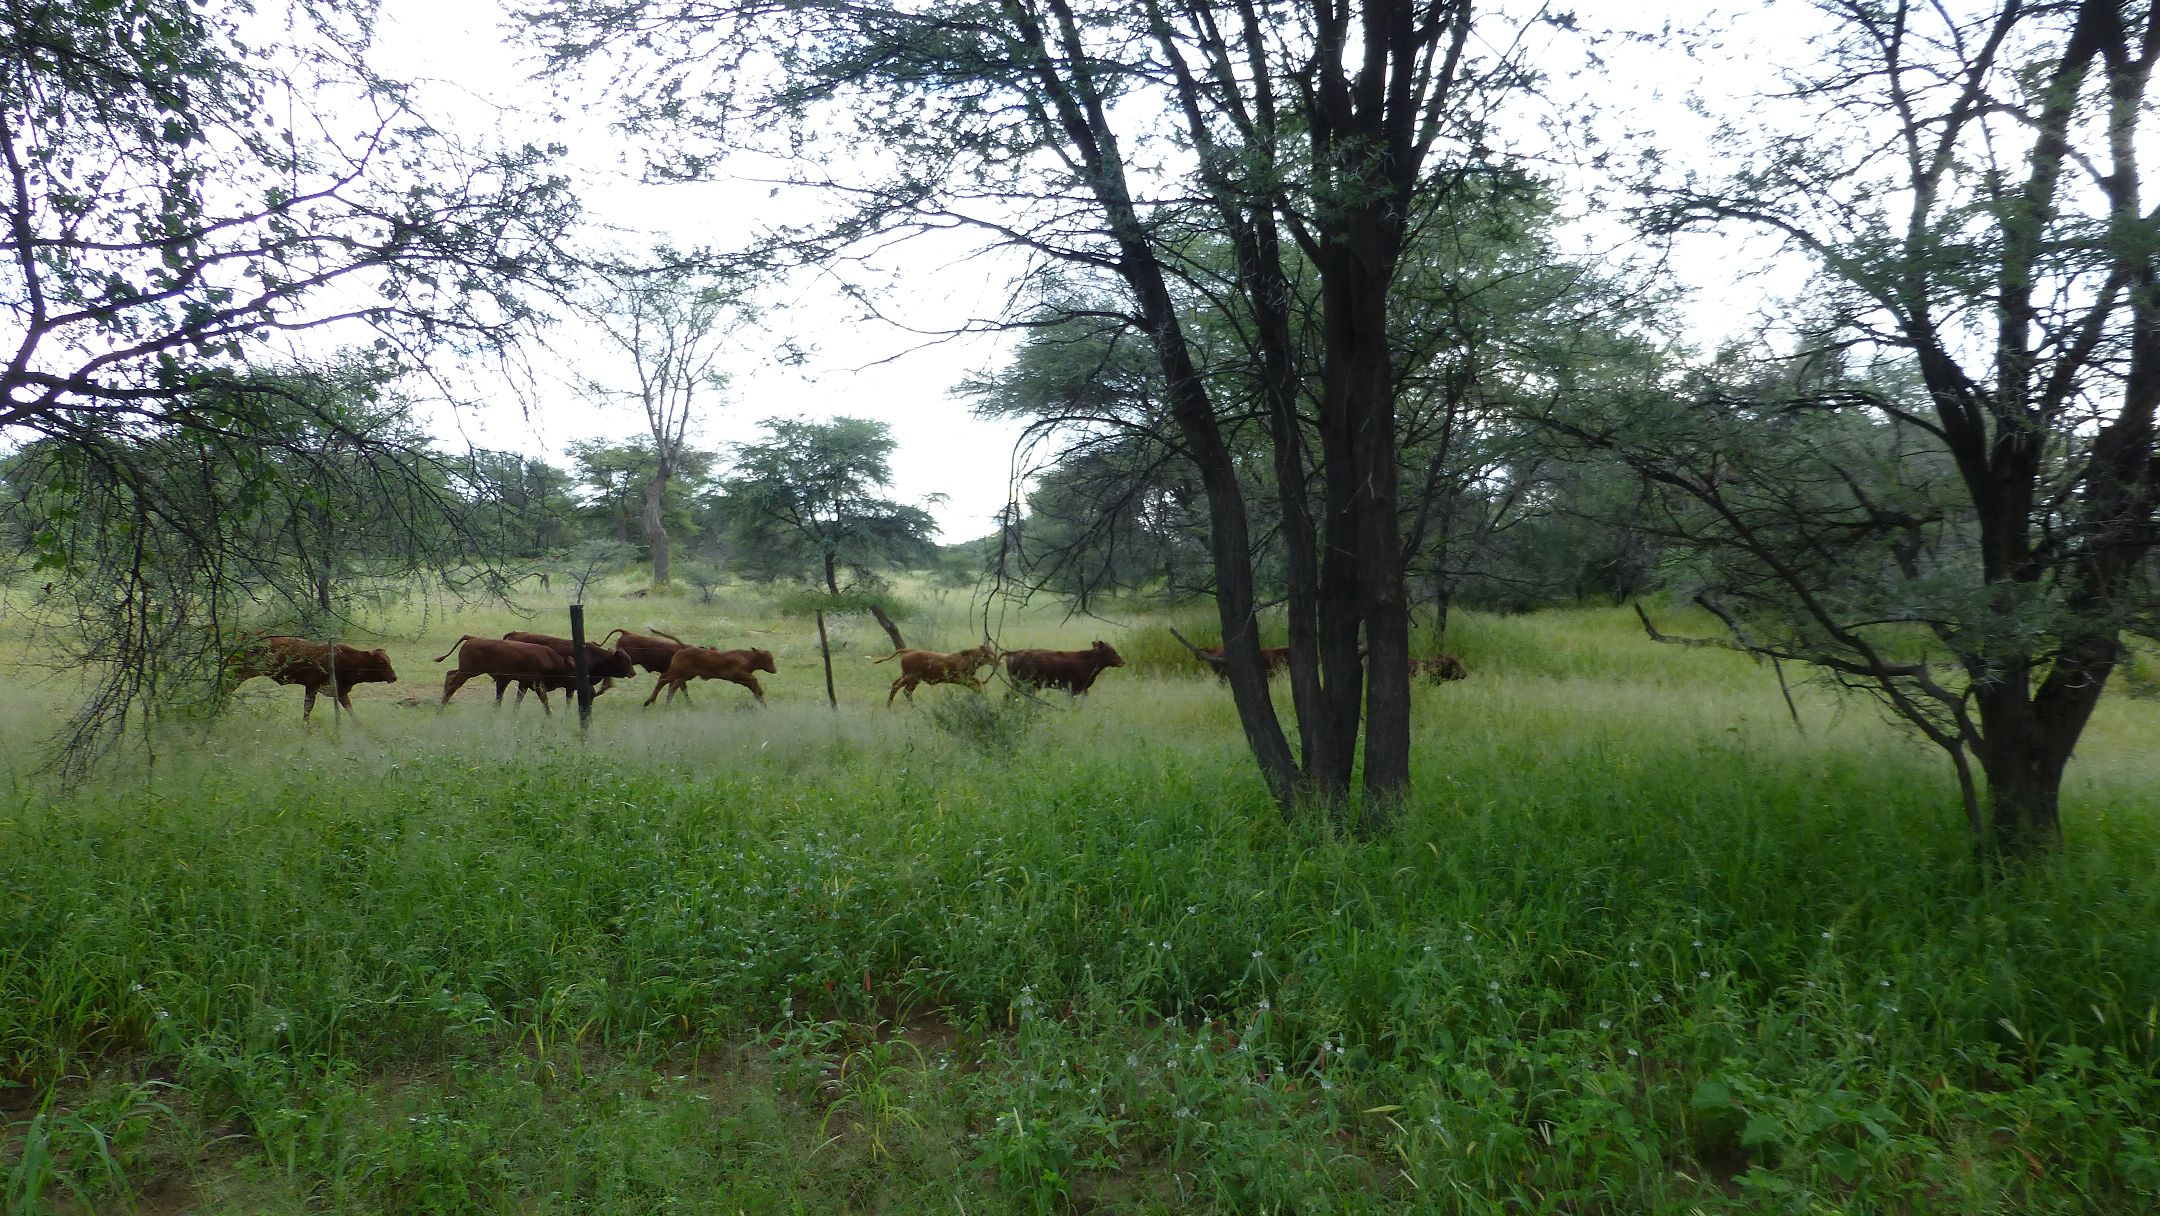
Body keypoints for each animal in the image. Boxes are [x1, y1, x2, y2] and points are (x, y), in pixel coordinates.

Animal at [227, 639, 397, 721]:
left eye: (389, 659)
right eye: (381, 662)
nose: (395, 677)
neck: (343, 659)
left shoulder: (340, 691)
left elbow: (351, 711)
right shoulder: (312, 686)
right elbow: (307, 709)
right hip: (238, 673)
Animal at [432, 639, 574, 712]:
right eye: (573, 671)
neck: (550, 660)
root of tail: (473, 638)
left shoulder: (524, 684)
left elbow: (518, 700)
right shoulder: (537, 684)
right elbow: (544, 700)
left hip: (467, 671)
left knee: (450, 674)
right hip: (467, 672)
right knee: (452, 687)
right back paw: (440, 710)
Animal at [639, 647, 777, 704]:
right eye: (769, 659)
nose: (774, 670)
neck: (747, 658)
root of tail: (679, 652)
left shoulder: (742, 679)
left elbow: (754, 686)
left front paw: (761, 701)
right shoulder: (737, 673)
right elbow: (754, 680)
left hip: (685, 675)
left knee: (674, 686)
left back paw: (667, 703)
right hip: (677, 672)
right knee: (663, 679)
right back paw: (649, 701)